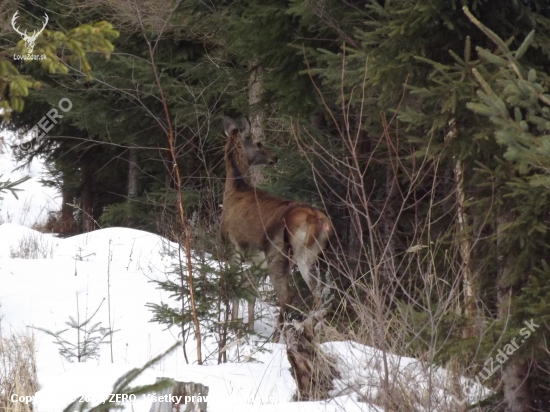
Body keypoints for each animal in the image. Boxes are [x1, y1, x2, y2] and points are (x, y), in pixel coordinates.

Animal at [219, 115, 332, 338]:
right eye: (258, 143)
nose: (275, 157)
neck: (234, 190)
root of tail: (318, 220)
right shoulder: (256, 260)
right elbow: (249, 292)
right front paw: (248, 330)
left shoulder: (232, 245)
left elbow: (236, 287)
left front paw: (234, 328)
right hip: (310, 255)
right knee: (318, 294)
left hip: (278, 252)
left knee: (288, 295)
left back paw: (276, 336)